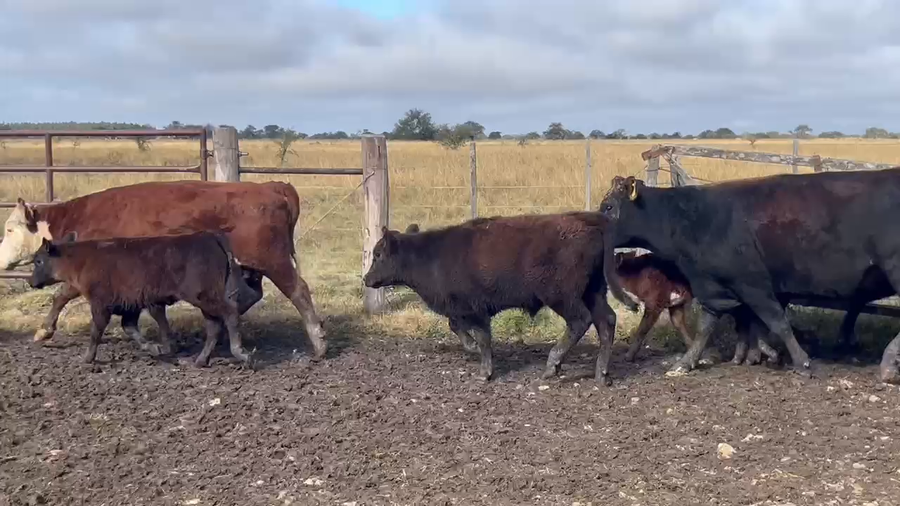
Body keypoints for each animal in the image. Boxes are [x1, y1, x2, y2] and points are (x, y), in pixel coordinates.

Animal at [28, 231, 256, 366]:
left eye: (38, 260)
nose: (31, 282)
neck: (83, 259)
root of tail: (208, 236)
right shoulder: (131, 305)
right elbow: (130, 328)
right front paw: (155, 348)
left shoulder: (101, 304)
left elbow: (96, 331)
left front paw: (87, 358)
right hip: (205, 300)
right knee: (214, 326)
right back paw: (200, 360)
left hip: (203, 296)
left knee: (229, 314)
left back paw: (240, 353)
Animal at [362, 213, 638, 383]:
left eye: (378, 254)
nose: (366, 279)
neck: (430, 255)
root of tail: (590, 223)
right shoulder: (460, 309)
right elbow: (456, 327)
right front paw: (473, 349)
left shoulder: (475, 310)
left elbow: (483, 337)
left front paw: (485, 371)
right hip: (593, 292)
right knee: (606, 321)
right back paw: (601, 374)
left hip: (563, 297)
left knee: (581, 321)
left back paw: (552, 365)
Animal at [599, 172, 900, 383]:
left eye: (608, 207)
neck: (695, 218)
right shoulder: (714, 286)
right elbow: (709, 326)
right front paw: (687, 362)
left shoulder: (753, 284)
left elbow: (777, 322)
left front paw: (801, 362)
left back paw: (887, 364)